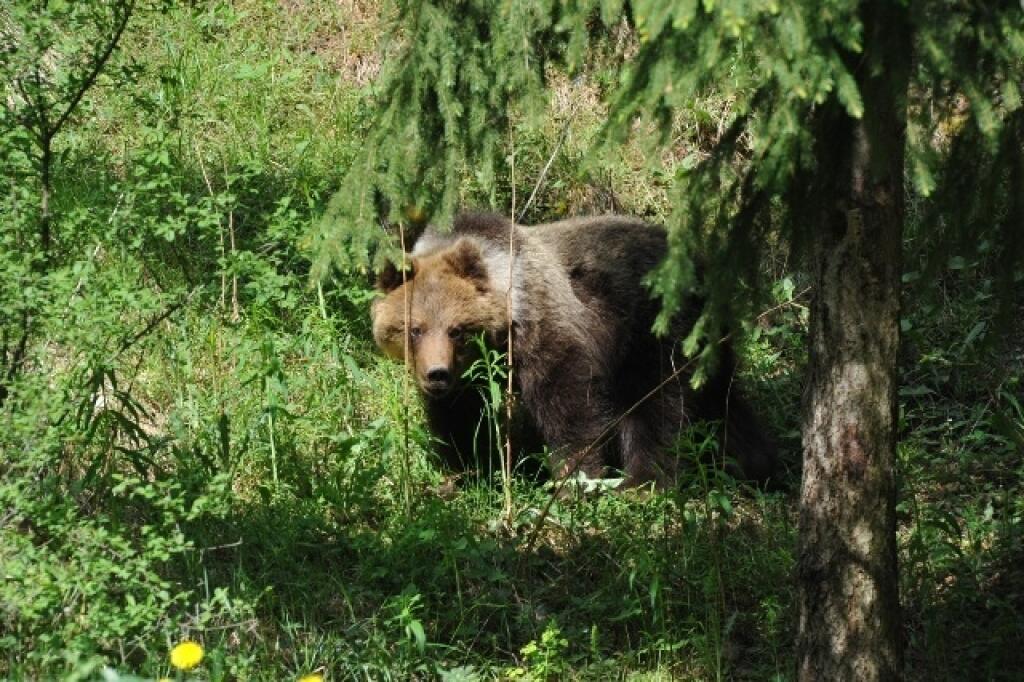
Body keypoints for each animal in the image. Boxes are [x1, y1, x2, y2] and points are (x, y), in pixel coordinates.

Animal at [370, 210, 774, 483]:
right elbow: (461, 418)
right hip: (705, 339)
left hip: (651, 329)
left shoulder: (544, 326)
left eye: (457, 330)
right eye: (414, 329)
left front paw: (576, 478)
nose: (436, 375)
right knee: (724, 401)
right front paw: (465, 471)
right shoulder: (468, 380)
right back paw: (757, 465)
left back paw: (644, 480)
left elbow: (569, 403)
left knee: (657, 405)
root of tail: (701, 263)